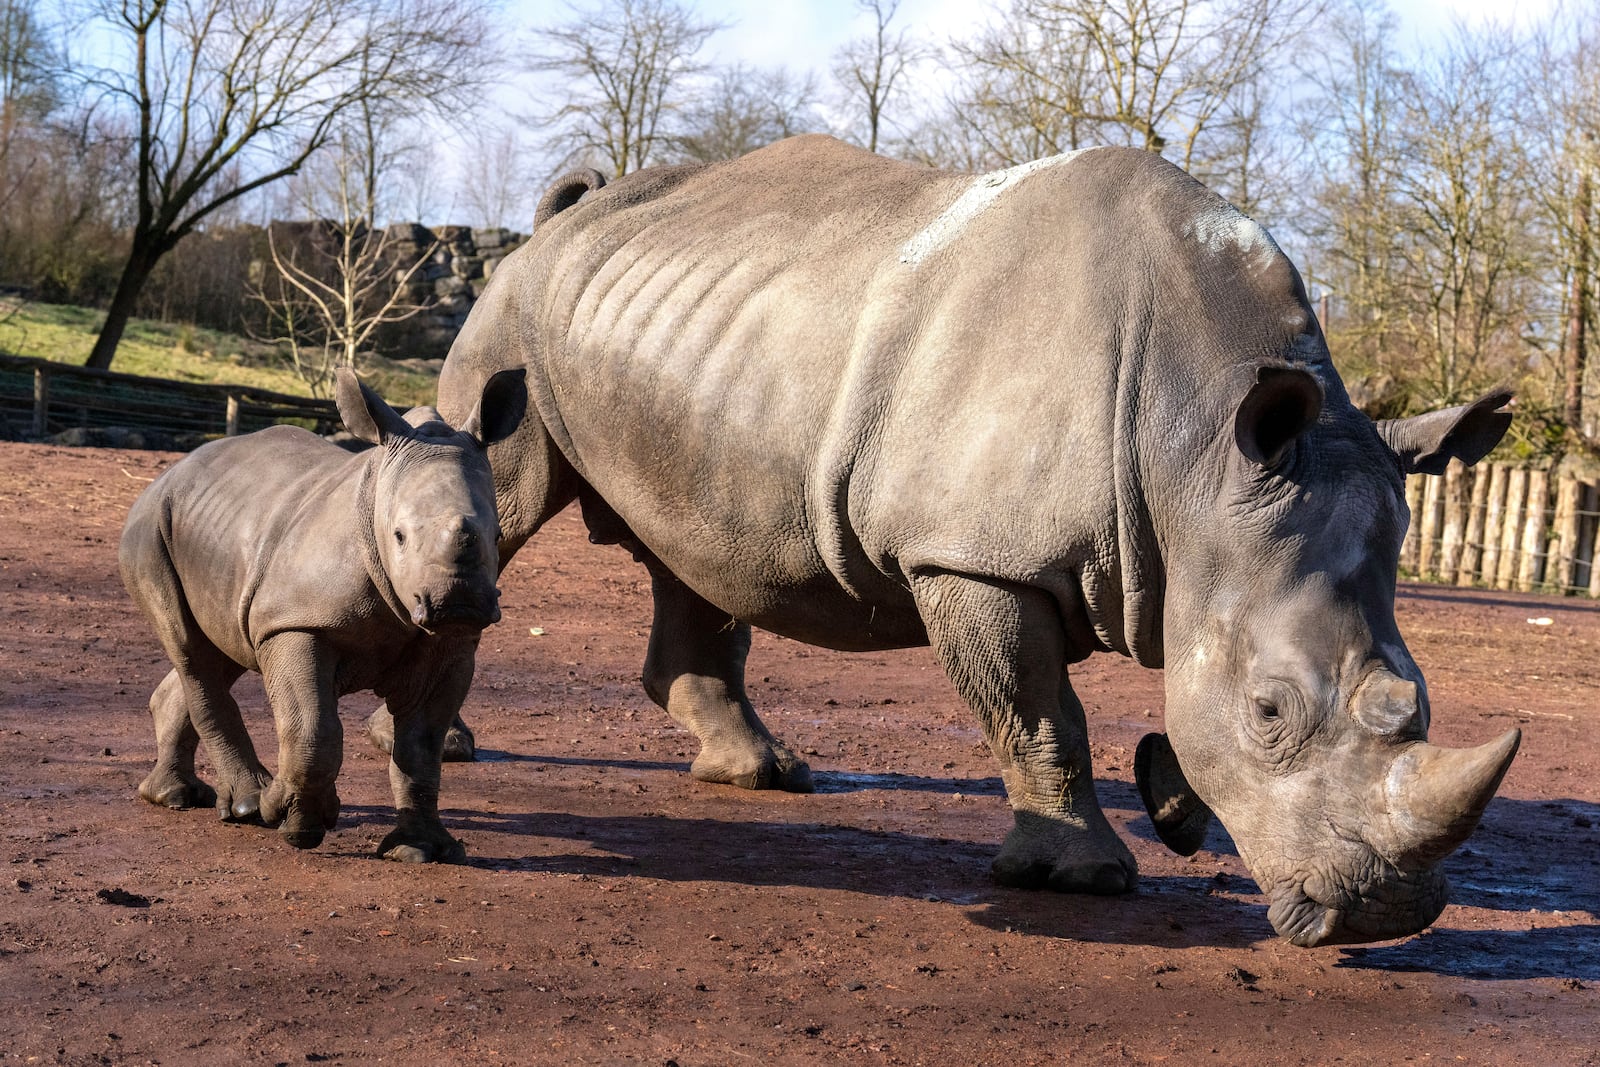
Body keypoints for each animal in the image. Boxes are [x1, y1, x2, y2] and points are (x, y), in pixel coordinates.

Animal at [126, 371, 524, 863]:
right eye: (399, 536)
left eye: (499, 535)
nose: (459, 603)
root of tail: (168, 473)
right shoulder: (298, 621)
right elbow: (314, 729)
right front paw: (298, 823)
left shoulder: (449, 644)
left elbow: (421, 747)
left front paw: (421, 849)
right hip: (151, 528)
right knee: (191, 651)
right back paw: (248, 805)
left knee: (222, 648)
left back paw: (177, 797)